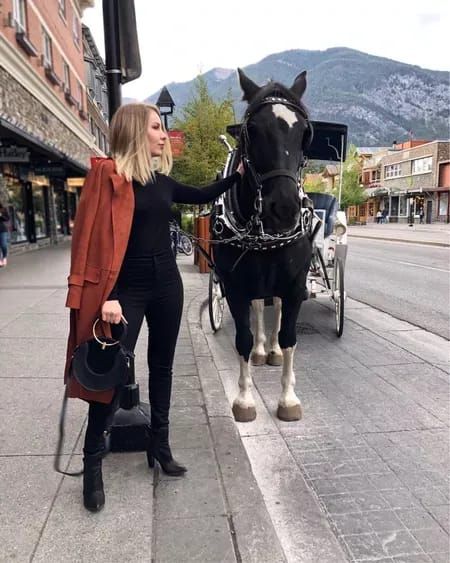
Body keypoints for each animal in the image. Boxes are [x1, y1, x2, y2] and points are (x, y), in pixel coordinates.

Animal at [214, 67, 312, 424]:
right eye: (252, 130)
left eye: (304, 132)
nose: (283, 208)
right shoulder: (235, 287)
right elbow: (243, 338)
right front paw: (244, 399)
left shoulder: (295, 285)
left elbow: (289, 337)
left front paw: (288, 397)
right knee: (259, 310)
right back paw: (261, 350)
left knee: (277, 311)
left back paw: (272, 352)